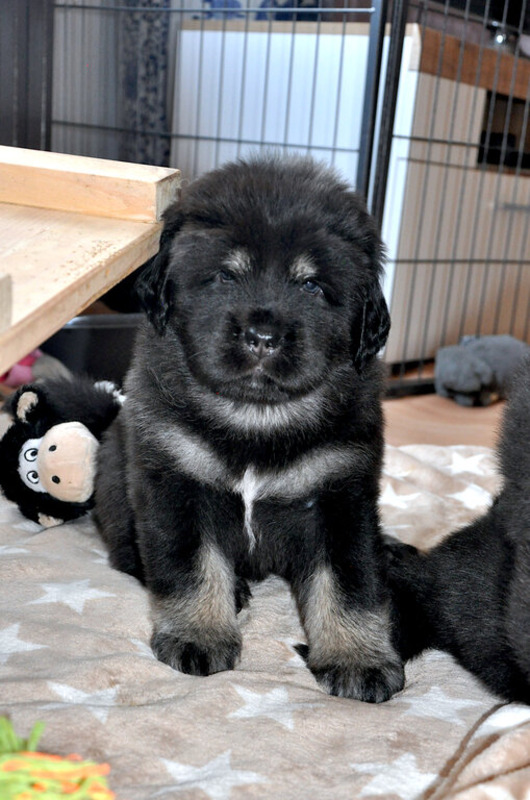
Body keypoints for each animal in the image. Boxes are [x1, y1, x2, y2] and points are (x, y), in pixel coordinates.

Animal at [94, 154, 404, 702]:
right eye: (225, 275)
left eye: (311, 285)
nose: (263, 335)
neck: (255, 420)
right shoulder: (175, 483)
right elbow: (191, 566)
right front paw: (198, 635)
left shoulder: (341, 496)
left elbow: (350, 583)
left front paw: (358, 659)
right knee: (129, 555)